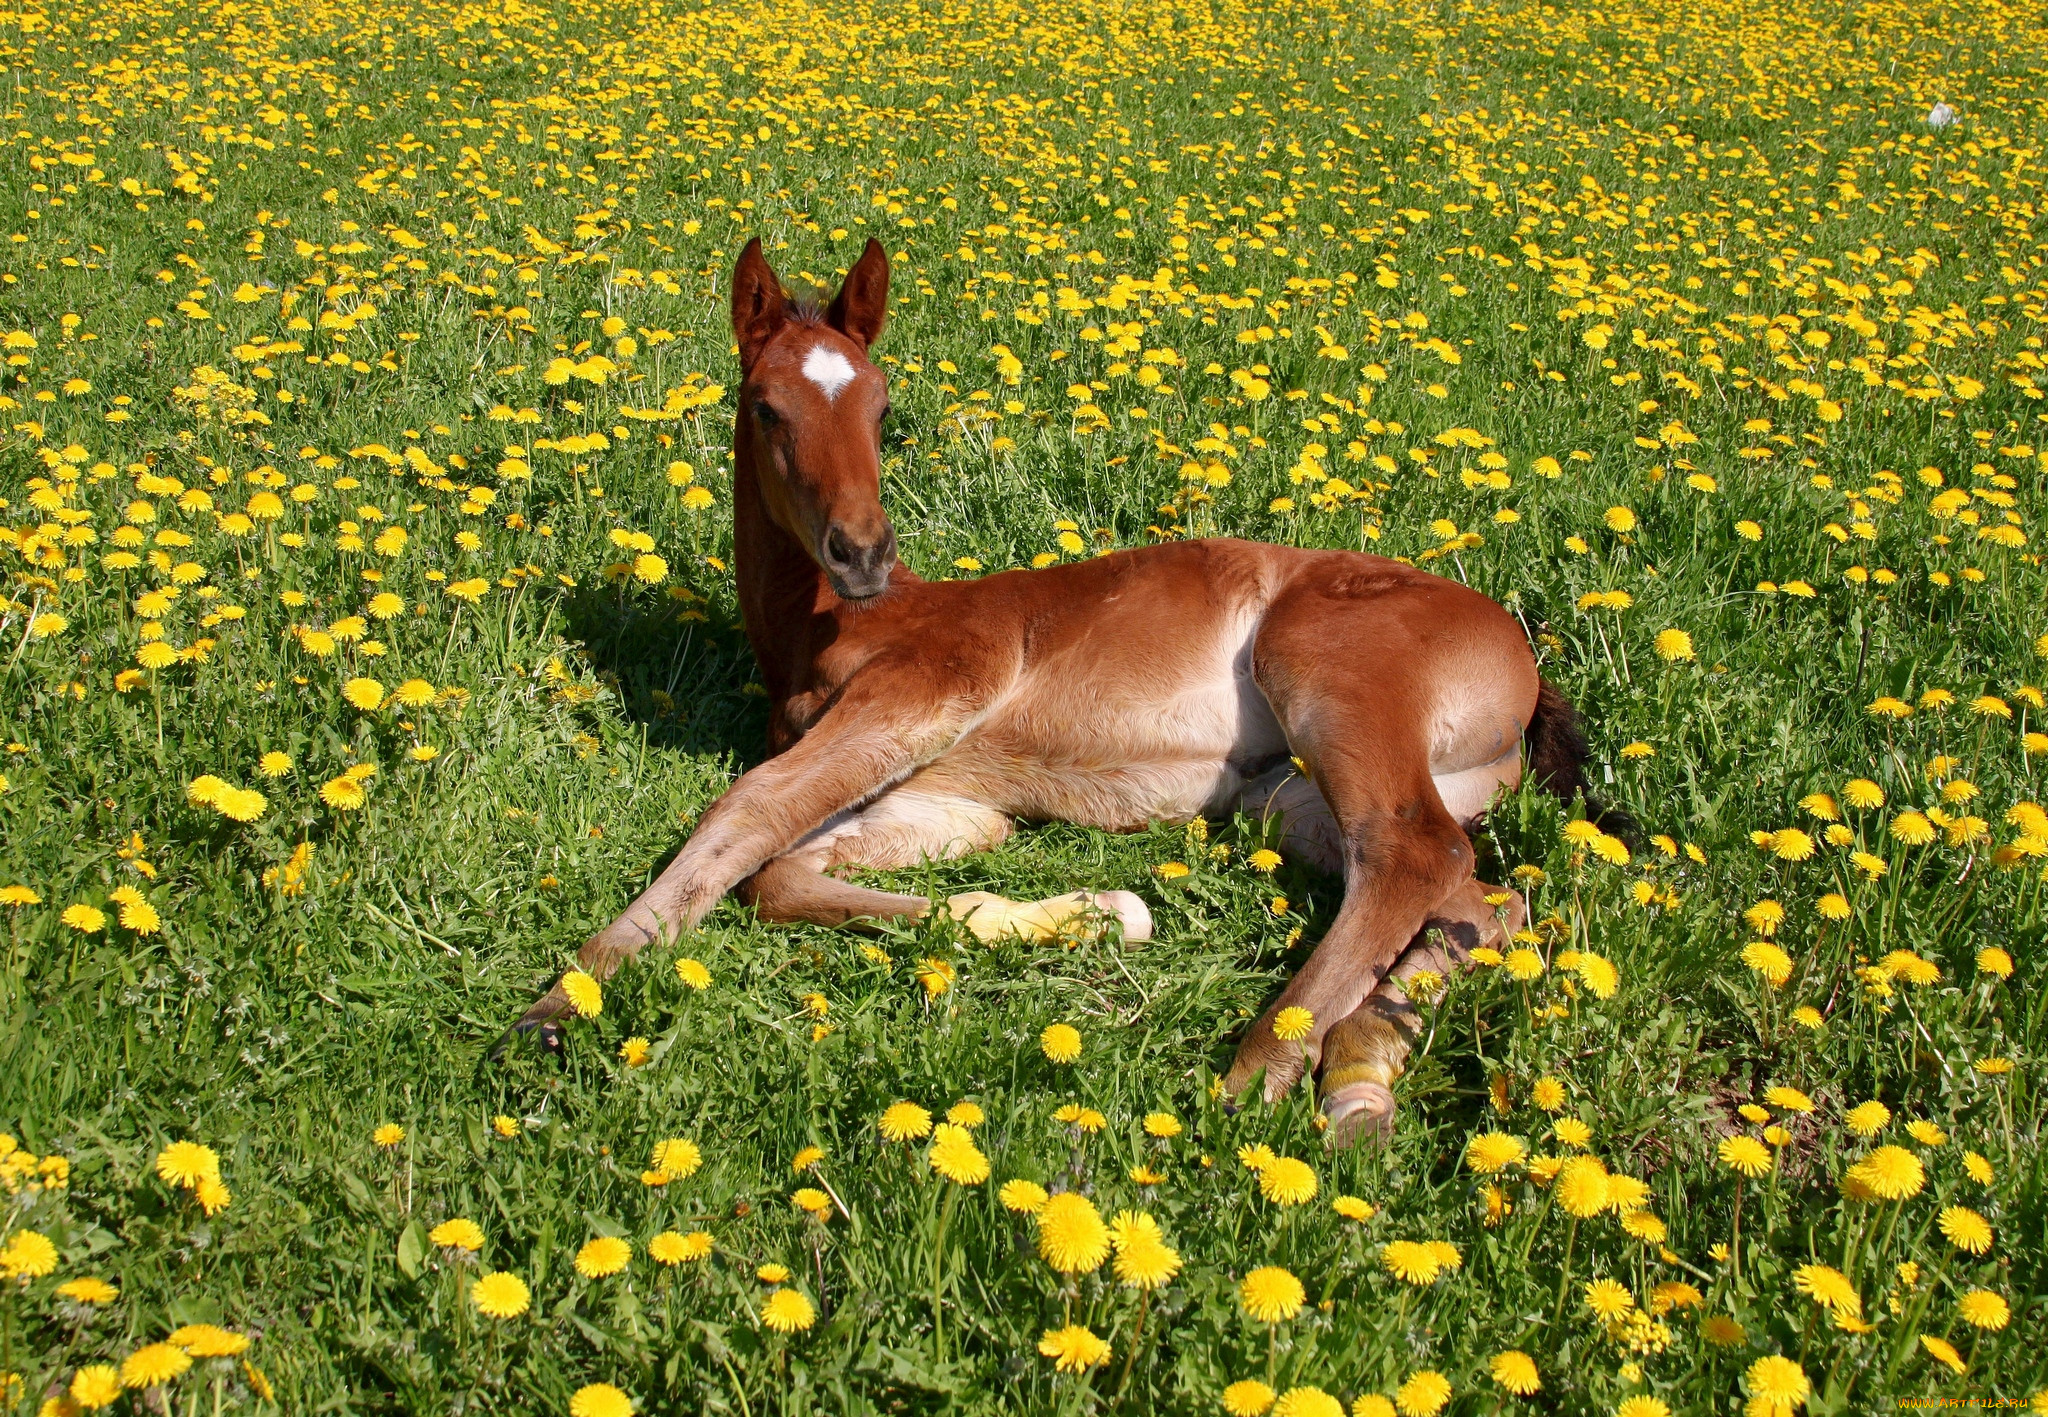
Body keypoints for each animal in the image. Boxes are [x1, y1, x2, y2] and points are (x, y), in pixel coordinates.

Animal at [503, 237, 1589, 1146]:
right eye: (768, 405)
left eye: (881, 408)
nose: (861, 552)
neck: (837, 627)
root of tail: (1520, 655)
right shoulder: (937, 797)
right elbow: (788, 878)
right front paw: (1097, 913)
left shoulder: (930, 688)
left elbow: (748, 813)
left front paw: (560, 1004)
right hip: (1292, 800)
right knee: (1480, 900)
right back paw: (1359, 1082)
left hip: (1331, 677)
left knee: (1413, 852)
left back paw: (1251, 1077)